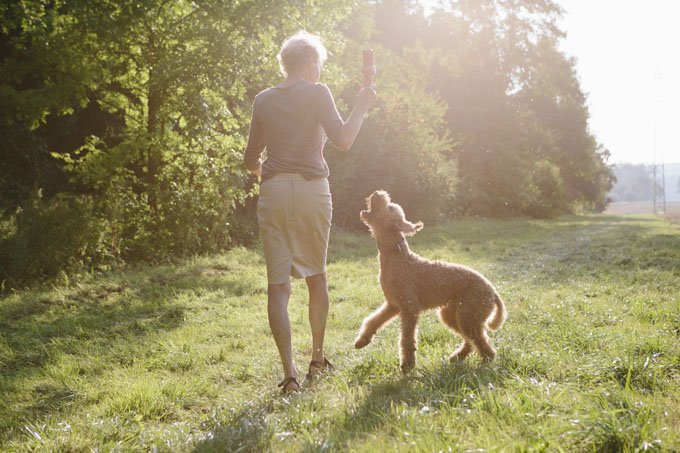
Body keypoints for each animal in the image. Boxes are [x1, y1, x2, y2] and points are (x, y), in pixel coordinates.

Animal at [356, 189, 504, 370]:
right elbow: (373, 321)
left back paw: (484, 363)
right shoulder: (393, 305)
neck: (397, 256)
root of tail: (493, 291)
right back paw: (457, 357)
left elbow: (407, 339)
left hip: (468, 315)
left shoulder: (409, 308)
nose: (378, 192)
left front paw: (407, 365)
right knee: (471, 341)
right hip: (452, 314)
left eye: (390, 207)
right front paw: (362, 341)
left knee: (481, 342)